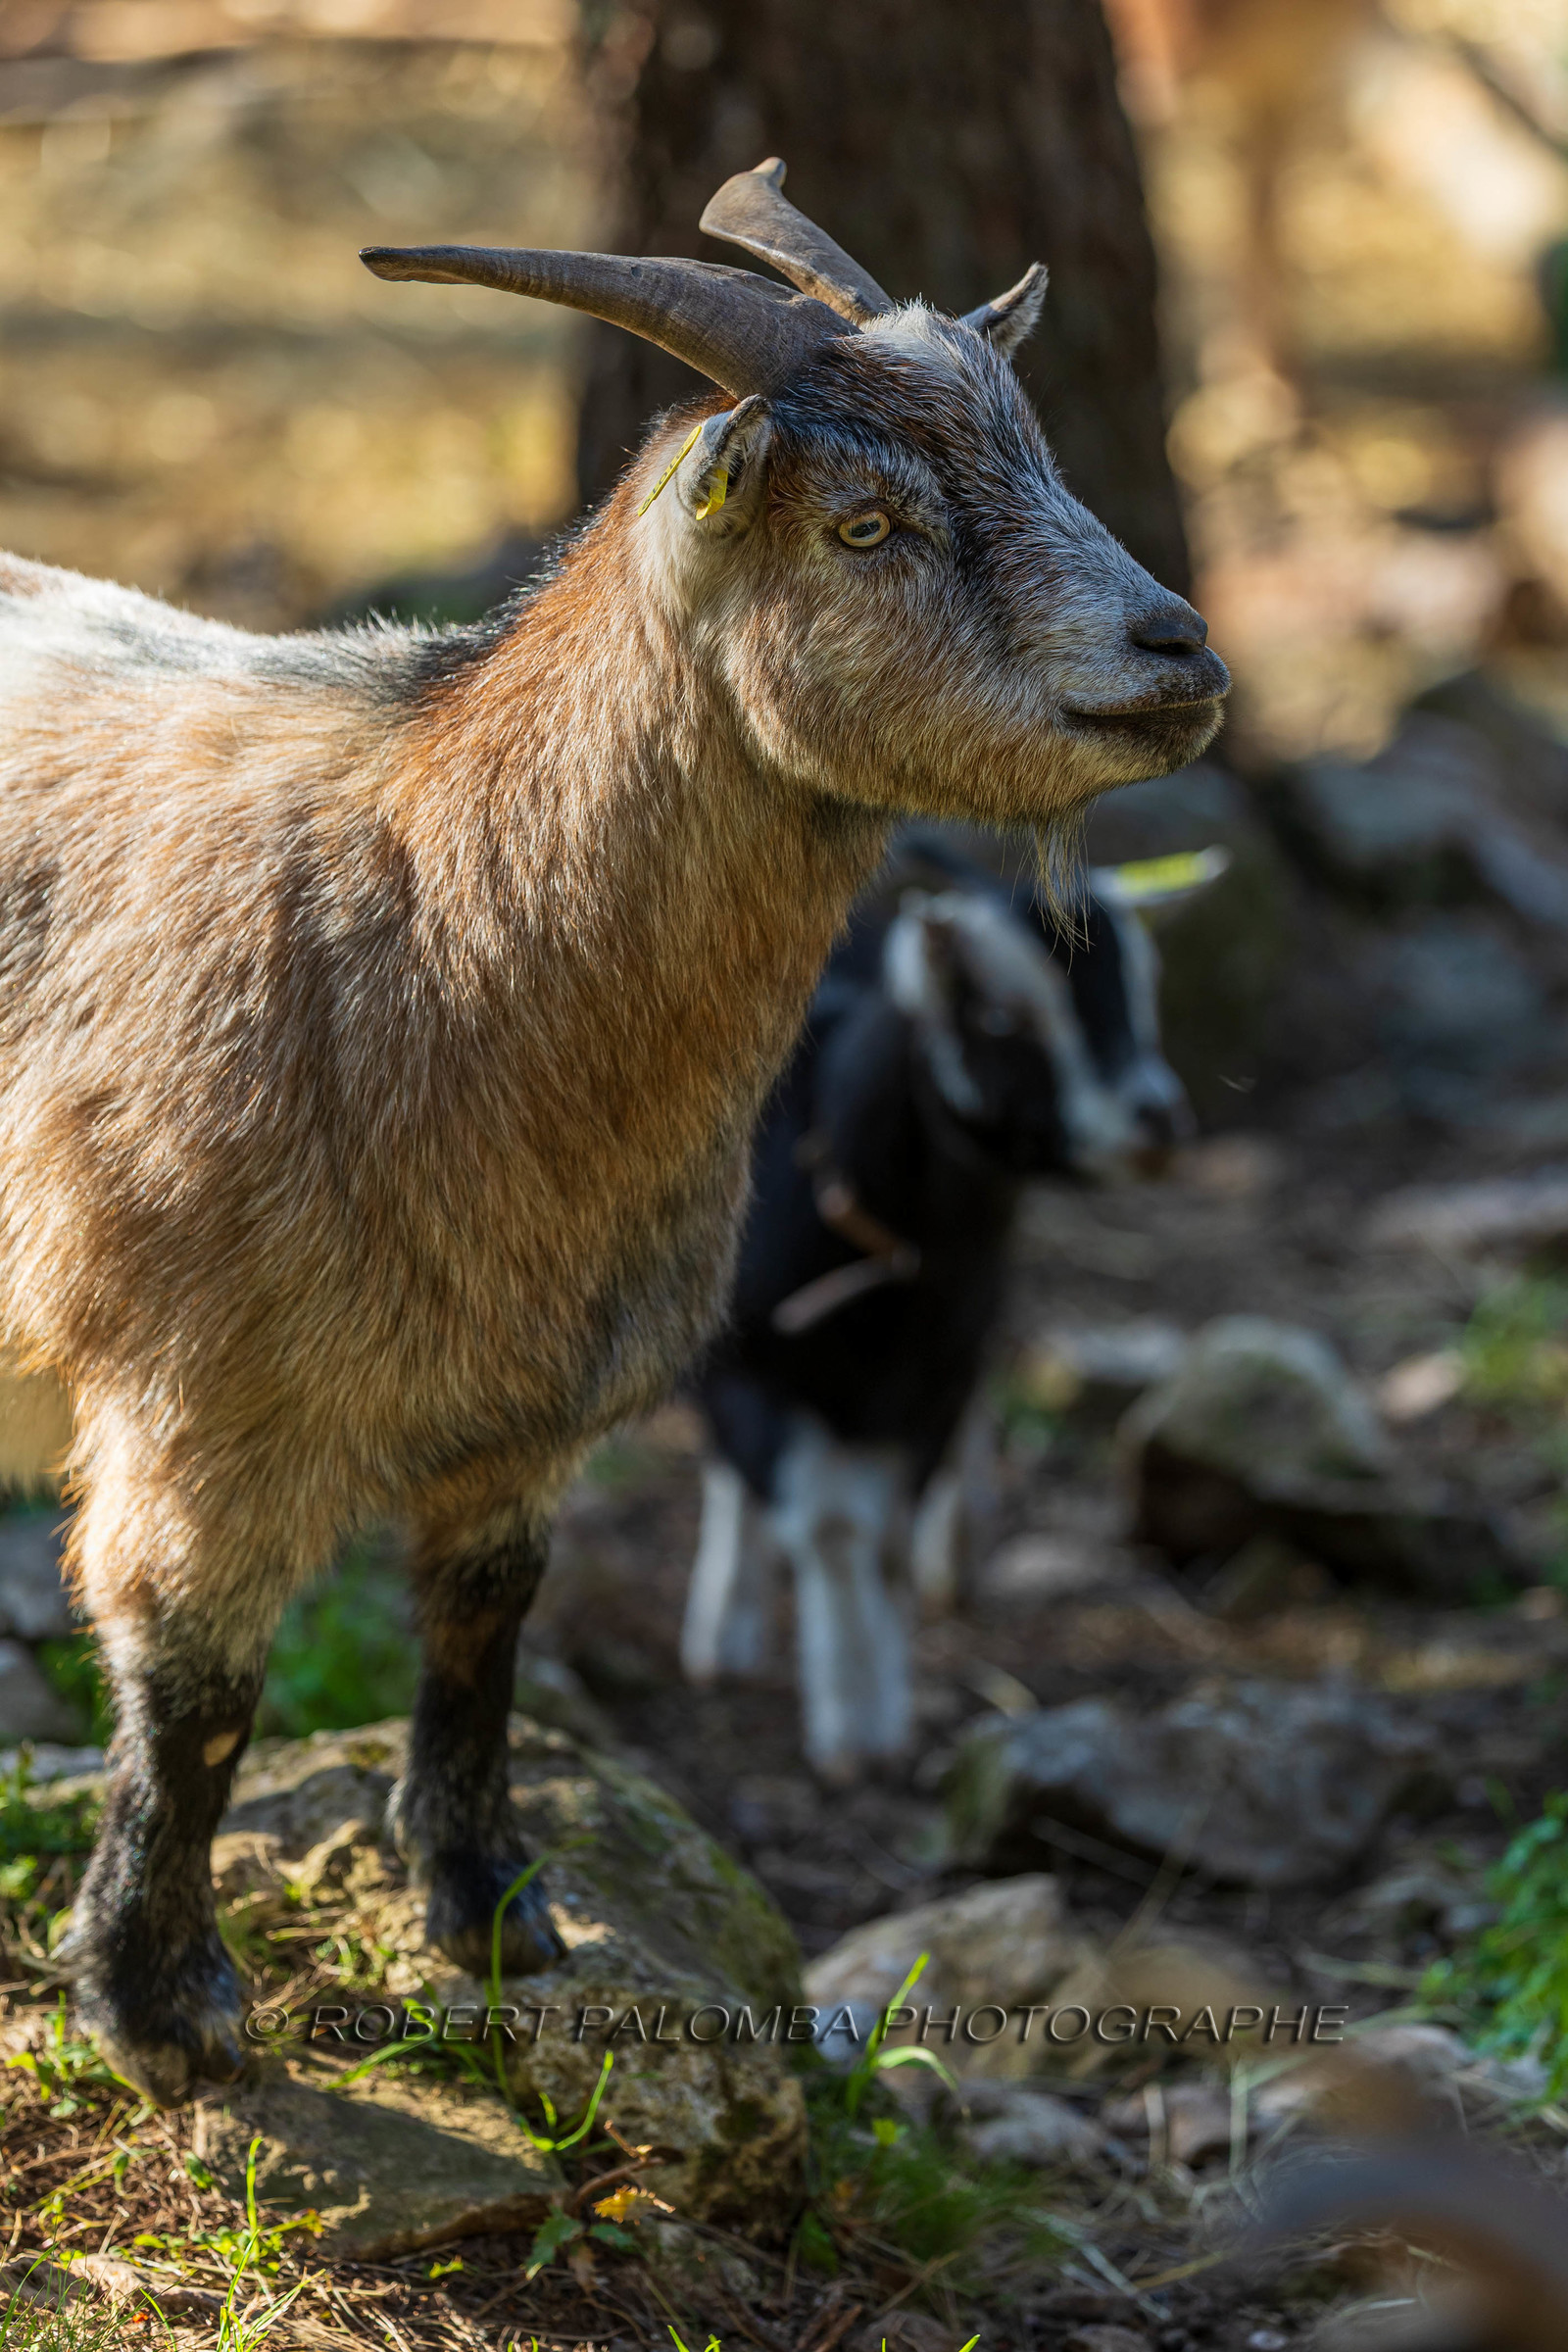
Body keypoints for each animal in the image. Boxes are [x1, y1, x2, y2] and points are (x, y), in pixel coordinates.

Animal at [682, 833, 1202, 1780]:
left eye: (1148, 986)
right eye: (999, 1016)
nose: (1156, 1121)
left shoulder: (936, 1367)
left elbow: (889, 1526)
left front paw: (875, 1705)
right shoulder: (745, 1365)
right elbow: (829, 1523)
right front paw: (850, 1720)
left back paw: (955, 1551)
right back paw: (726, 1624)